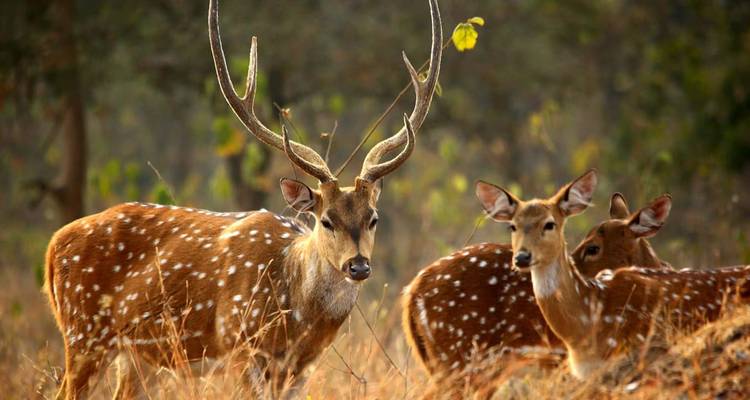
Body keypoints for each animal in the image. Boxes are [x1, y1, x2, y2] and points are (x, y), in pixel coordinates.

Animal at [43, 0, 442, 398]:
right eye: (326, 220)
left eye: (373, 217)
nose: (358, 266)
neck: (297, 321)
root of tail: (53, 245)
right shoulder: (239, 347)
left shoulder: (301, 370)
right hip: (83, 332)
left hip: (138, 357)